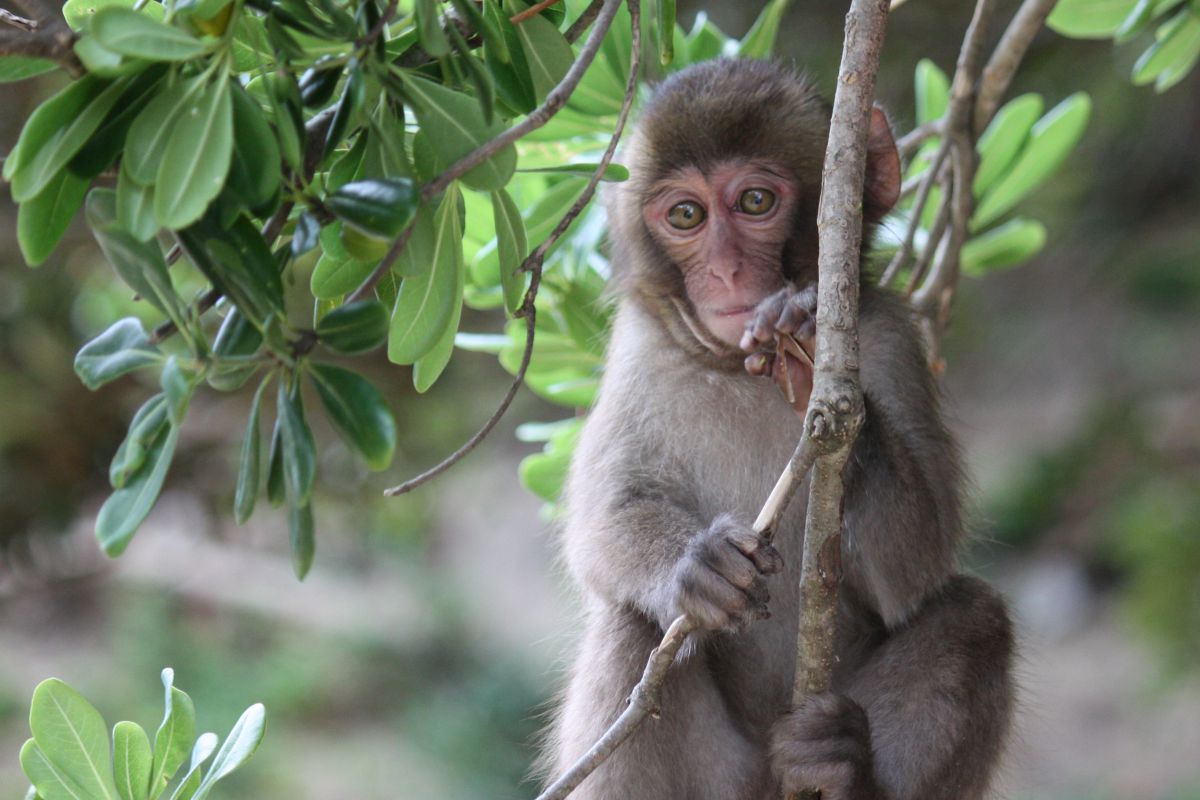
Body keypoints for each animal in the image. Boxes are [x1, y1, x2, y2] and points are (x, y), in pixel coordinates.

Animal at [542, 61, 1012, 800]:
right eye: (686, 215)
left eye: (756, 201)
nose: (728, 270)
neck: (737, 365)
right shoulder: (636, 363)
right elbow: (601, 526)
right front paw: (696, 566)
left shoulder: (892, 343)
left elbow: (916, 569)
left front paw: (815, 366)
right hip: (723, 776)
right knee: (633, 626)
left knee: (975, 615)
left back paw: (841, 766)